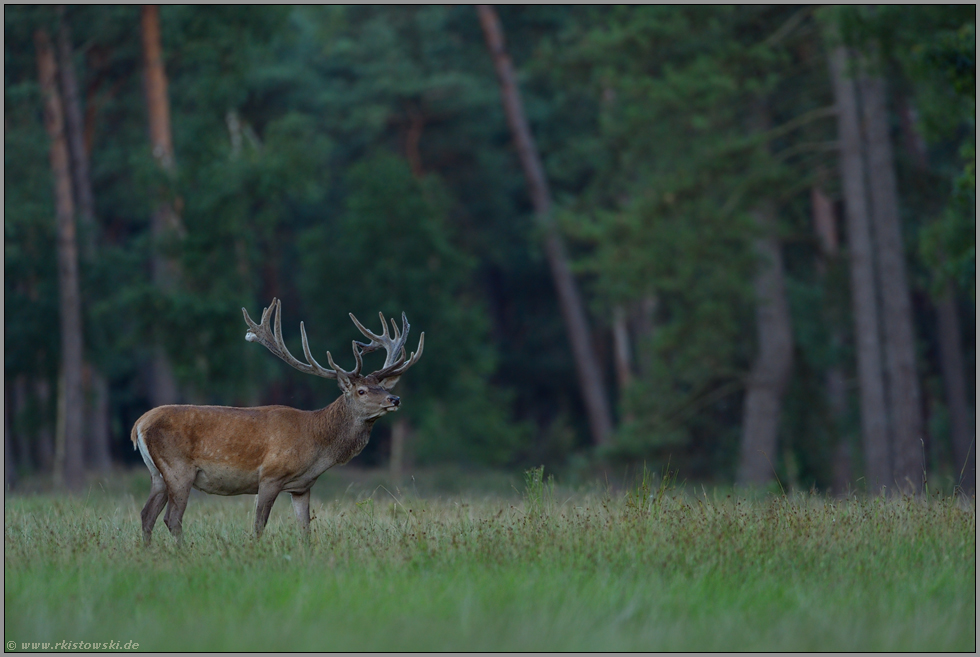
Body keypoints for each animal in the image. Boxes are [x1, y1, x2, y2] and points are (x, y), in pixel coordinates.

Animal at [130, 298, 422, 544]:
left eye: (381, 386)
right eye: (361, 391)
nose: (394, 399)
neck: (317, 444)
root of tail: (138, 425)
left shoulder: (302, 487)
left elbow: (305, 529)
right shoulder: (270, 475)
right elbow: (259, 525)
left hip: (158, 474)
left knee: (147, 515)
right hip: (179, 468)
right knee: (171, 518)